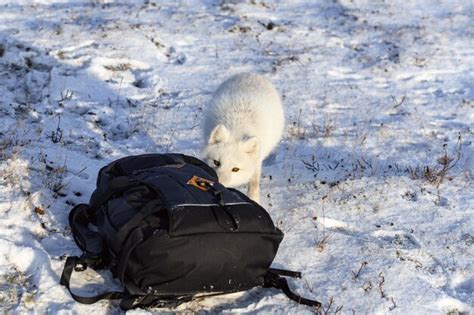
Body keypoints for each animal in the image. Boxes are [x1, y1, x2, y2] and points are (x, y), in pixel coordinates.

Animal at [201, 73, 284, 204]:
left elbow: (254, 183)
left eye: (235, 169)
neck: (237, 129)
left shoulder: (257, 161)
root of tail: (250, 74)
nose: (219, 184)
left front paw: (254, 200)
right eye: (216, 162)